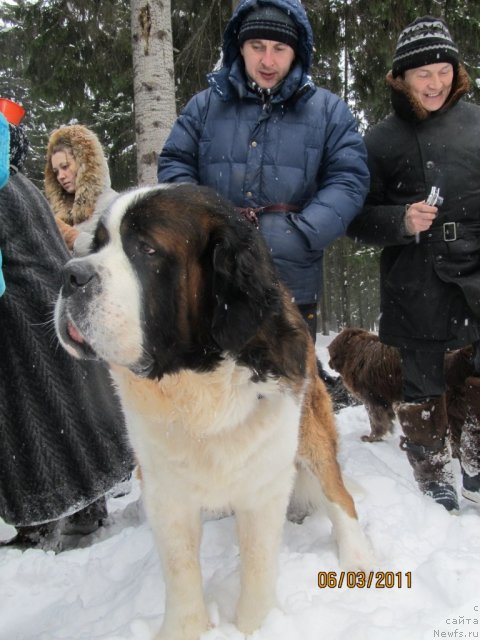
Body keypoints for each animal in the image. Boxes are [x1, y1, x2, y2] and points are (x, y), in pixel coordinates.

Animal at [55, 185, 372, 640]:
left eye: (146, 249)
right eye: (96, 245)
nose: (69, 276)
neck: (196, 381)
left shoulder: (264, 481)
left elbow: (258, 563)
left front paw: (256, 626)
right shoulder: (164, 489)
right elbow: (180, 568)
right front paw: (185, 630)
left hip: (311, 428)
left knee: (338, 493)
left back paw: (358, 559)